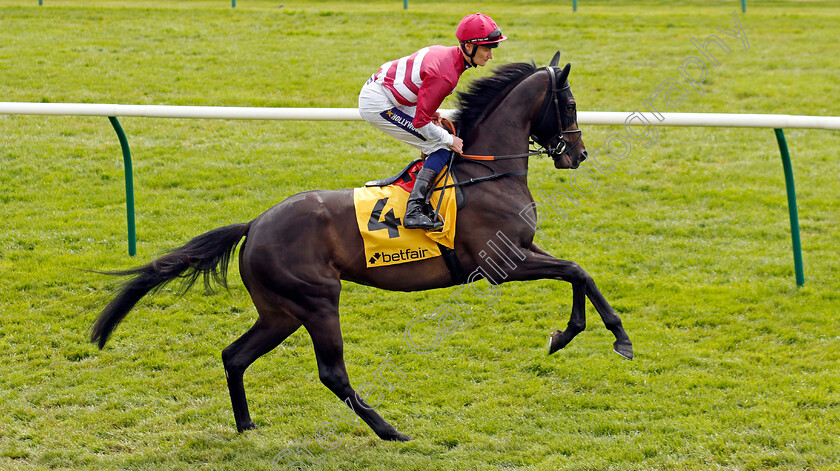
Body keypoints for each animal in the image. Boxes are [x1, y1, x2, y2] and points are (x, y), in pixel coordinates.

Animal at [90, 52, 632, 442]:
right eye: (570, 104)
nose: (579, 154)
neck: (487, 172)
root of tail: (255, 224)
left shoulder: (519, 256)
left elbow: (577, 271)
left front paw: (568, 335)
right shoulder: (504, 262)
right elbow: (577, 270)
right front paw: (607, 337)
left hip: (281, 311)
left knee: (234, 355)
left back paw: (246, 425)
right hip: (316, 301)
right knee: (332, 373)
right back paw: (391, 430)